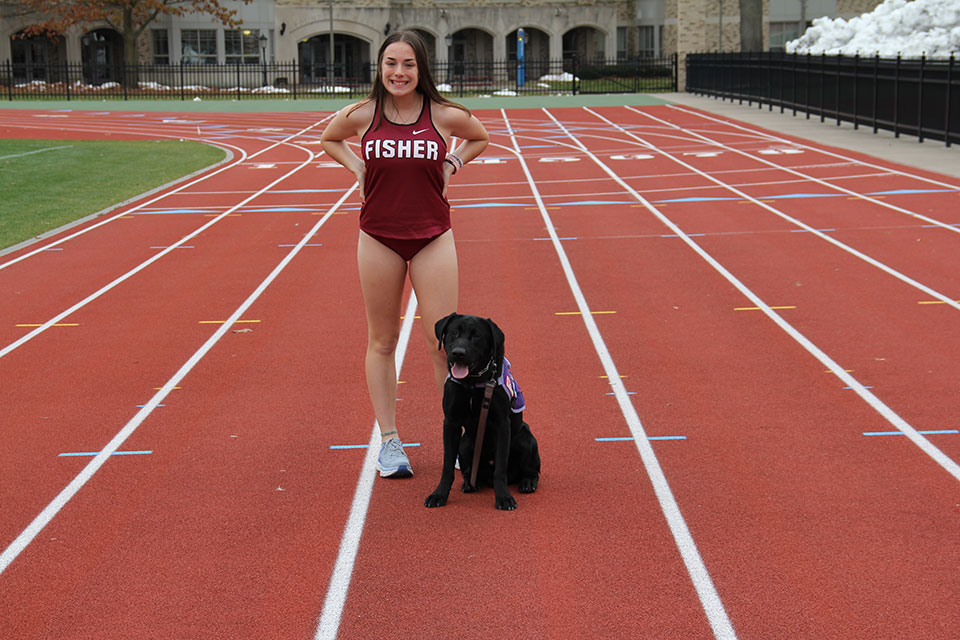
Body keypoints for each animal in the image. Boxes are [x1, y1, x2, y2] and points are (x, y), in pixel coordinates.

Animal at [426, 312, 540, 512]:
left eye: (477, 336)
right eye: (454, 332)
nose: (458, 353)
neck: (471, 383)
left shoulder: (502, 424)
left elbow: (500, 467)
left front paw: (504, 498)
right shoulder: (451, 423)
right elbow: (447, 466)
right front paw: (439, 494)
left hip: (526, 440)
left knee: (531, 471)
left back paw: (527, 482)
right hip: (465, 444)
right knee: (470, 471)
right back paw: (470, 482)